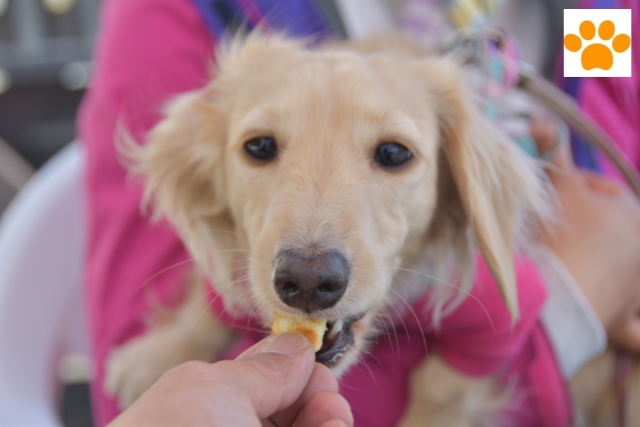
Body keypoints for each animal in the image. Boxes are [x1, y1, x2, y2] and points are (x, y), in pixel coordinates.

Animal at [105, 31, 576, 426]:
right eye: (259, 146)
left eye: (394, 153)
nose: (307, 282)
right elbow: (210, 304)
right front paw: (159, 354)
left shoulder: (507, 311)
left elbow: (441, 388)